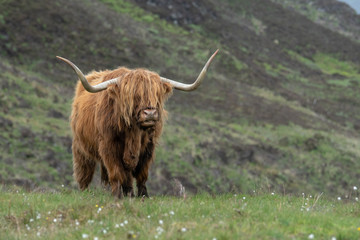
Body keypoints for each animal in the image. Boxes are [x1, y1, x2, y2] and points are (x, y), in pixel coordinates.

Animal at [57, 49, 218, 198]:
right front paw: (117, 197)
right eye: (134, 95)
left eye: (156, 94)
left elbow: (141, 175)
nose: (150, 113)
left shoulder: (148, 147)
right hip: (80, 148)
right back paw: (85, 192)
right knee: (84, 173)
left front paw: (142, 196)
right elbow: (116, 172)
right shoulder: (109, 146)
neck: (133, 132)